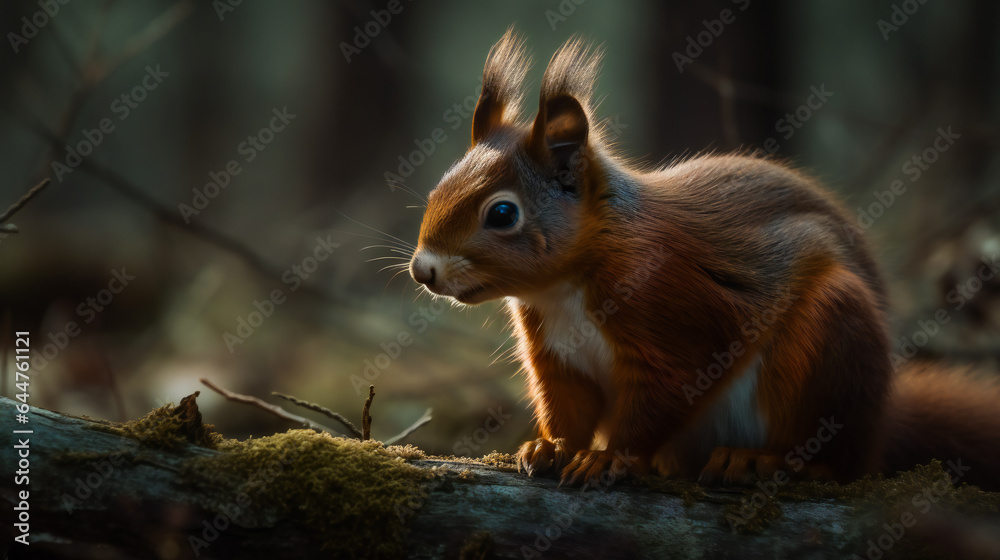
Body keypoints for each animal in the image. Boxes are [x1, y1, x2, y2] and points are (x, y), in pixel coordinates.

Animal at [408, 28, 1000, 490]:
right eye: (437, 186)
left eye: (502, 213)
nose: (424, 270)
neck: (565, 288)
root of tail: (881, 422)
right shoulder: (556, 353)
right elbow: (568, 406)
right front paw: (550, 447)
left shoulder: (677, 312)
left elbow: (662, 395)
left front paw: (606, 457)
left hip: (834, 334)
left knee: (836, 458)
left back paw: (763, 460)